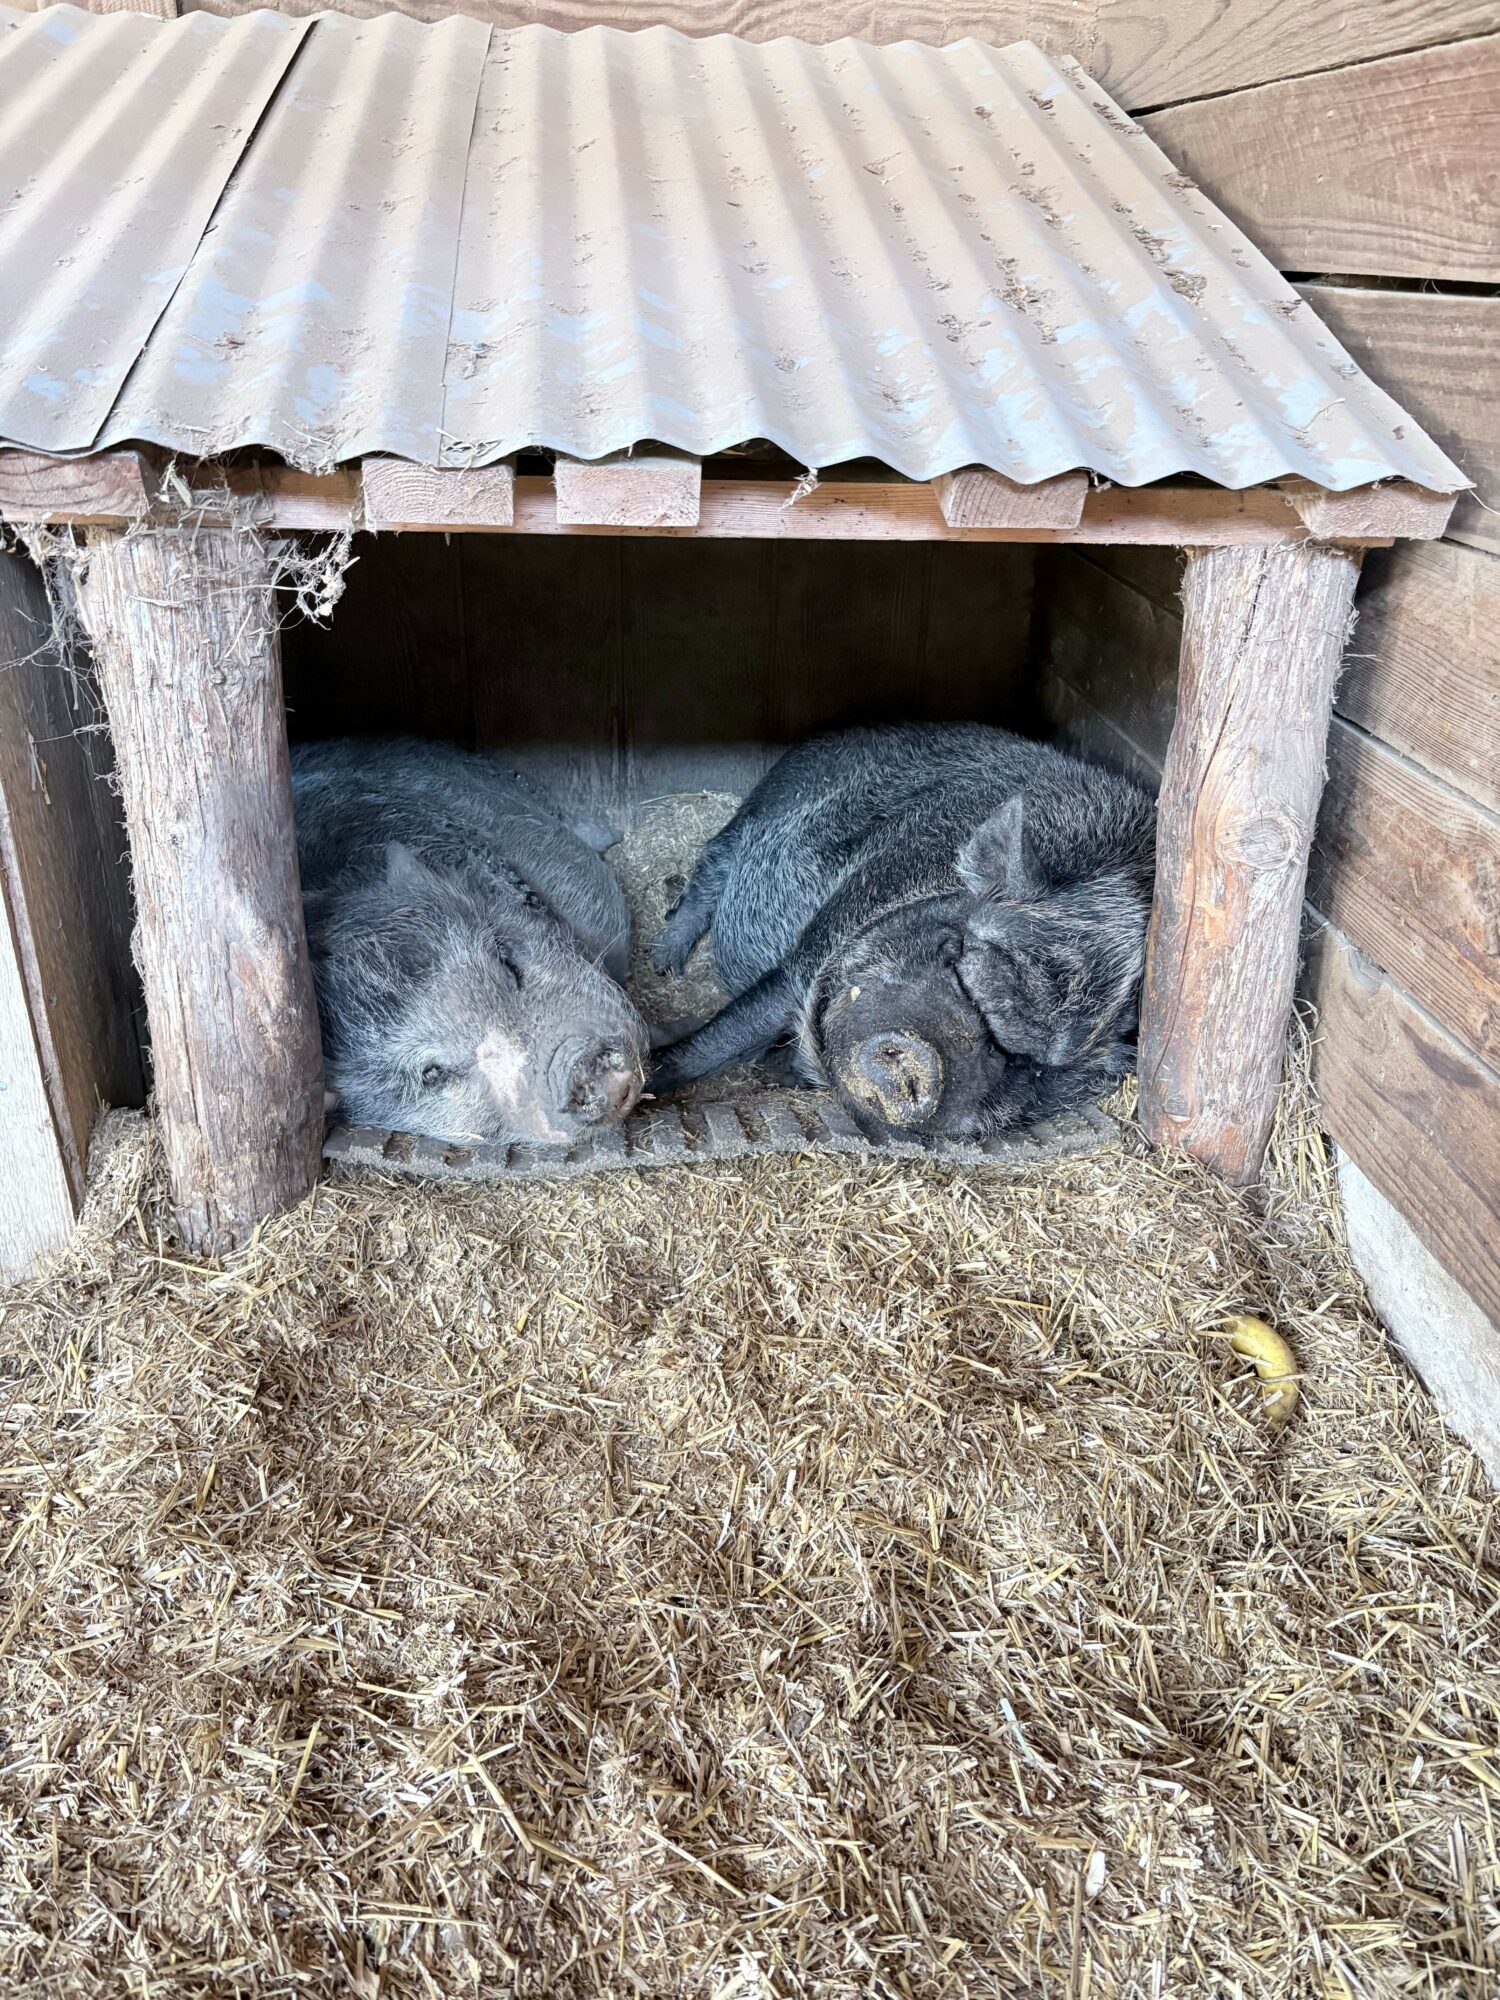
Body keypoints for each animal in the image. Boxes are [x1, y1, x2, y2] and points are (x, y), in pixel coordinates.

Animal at [649, 725, 1155, 1143]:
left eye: (1033, 1071)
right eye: (956, 956)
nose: (923, 1059)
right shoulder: (816, 950)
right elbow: (720, 1038)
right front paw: (649, 1079)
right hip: (761, 808)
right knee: (711, 868)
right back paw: (664, 963)